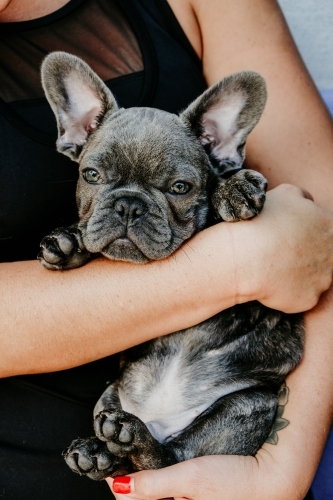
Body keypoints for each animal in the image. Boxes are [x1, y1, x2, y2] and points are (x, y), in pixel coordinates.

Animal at [37, 52, 302, 478]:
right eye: (91, 175)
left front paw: (234, 188)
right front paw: (68, 244)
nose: (128, 205)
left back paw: (129, 437)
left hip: (248, 406)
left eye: (180, 188)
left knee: (167, 458)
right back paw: (97, 452)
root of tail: (158, 422)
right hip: (109, 394)